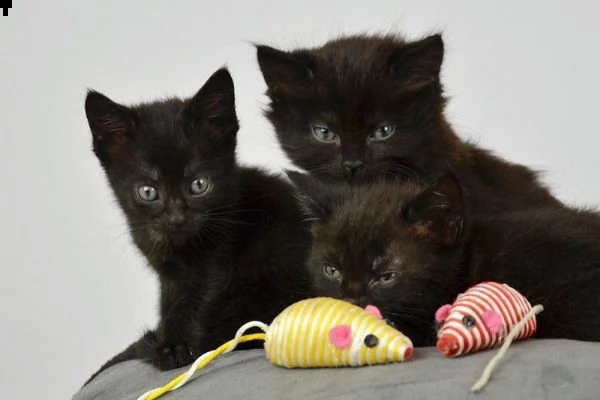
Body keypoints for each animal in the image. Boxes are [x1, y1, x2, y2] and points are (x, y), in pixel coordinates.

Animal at [85, 68, 314, 378]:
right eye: (147, 192)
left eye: (199, 185)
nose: (176, 218)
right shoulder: (168, 277)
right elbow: (168, 305)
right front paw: (169, 344)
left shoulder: (218, 257)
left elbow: (193, 303)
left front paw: (172, 349)